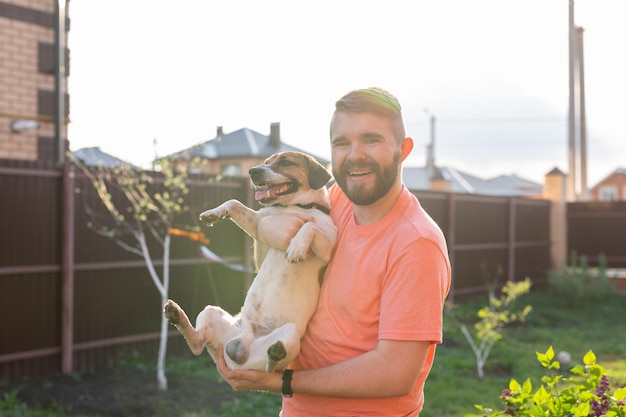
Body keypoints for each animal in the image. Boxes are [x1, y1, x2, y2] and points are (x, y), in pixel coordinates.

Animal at [163, 151, 334, 372]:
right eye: (267, 162)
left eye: (285, 162)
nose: (253, 171)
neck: (295, 207)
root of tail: (241, 346)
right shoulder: (259, 226)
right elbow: (235, 202)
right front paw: (214, 213)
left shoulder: (328, 245)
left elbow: (309, 226)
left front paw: (297, 245)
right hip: (211, 311)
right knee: (197, 344)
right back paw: (177, 315)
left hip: (291, 334)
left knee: (273, 368)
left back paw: (276, 352)